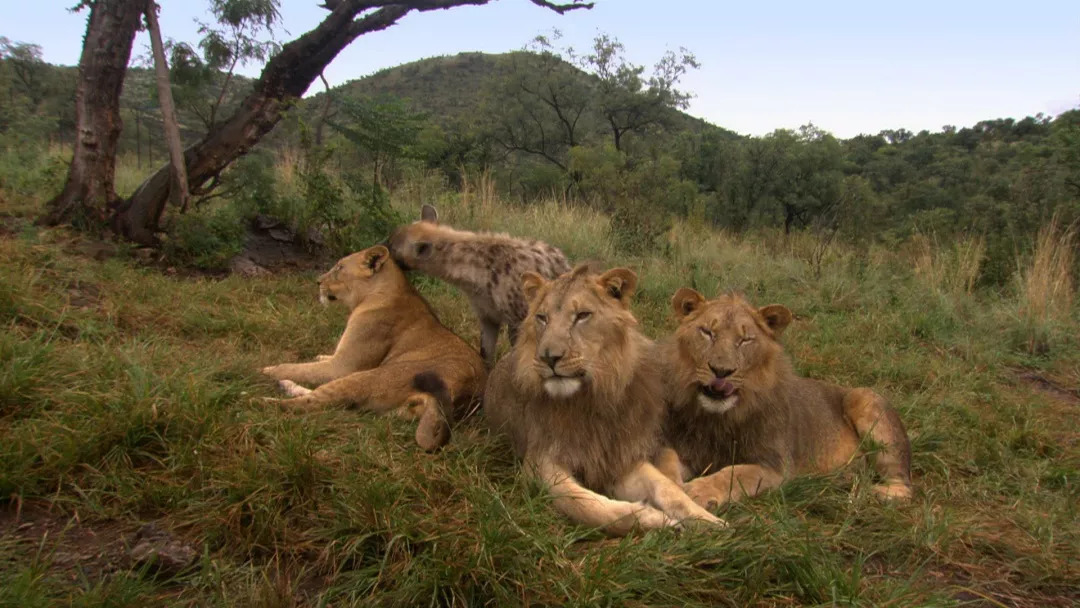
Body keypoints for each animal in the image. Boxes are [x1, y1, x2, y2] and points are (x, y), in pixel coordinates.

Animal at [259, 244, 483, 451]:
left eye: (340, 267)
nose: (318, 281)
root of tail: (460, 397)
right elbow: (318, 362)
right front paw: (318, 356)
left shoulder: (342, 366)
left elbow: (296, 367)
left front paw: (266, 370)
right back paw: (283, 385)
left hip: (372, 376)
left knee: (306, 404)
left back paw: (259, 400)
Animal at [483, 264, 721, 535]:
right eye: (542, 318)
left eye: (582, 315)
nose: (548, 357)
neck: (590, 399)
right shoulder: (539, 464)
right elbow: (585, 505)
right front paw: (656, 519)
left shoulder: (618, 457)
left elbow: (666, 487)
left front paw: (710, 522)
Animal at [652, 289, 915, 509]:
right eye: (707, 332)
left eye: (745, 340)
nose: (721, 371)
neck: (719, 417)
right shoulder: (684, 448)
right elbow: (664, 463)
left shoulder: (776, 465)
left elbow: (735, 473)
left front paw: (698, 491)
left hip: (866, 400)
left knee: (904, 486)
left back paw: (869, 493)